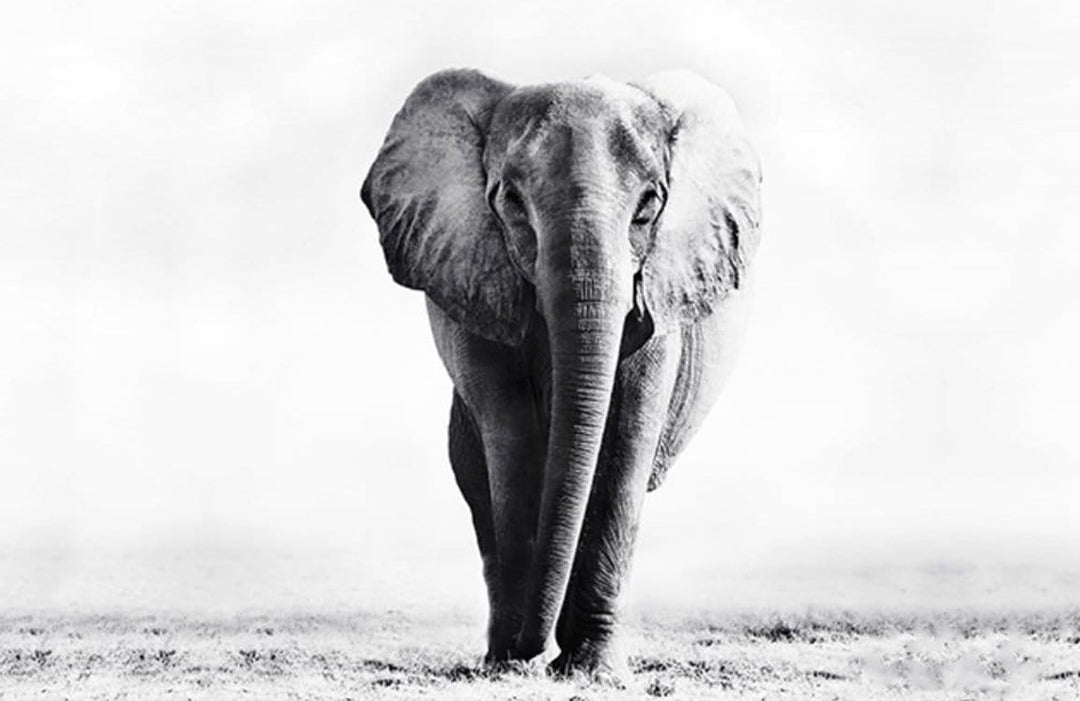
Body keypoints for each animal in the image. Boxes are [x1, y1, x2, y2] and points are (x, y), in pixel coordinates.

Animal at [361, 68, 761, 683]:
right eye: (510, 201)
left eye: (649, 205)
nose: (535, 647)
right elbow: (513, 439)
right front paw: (512, 665)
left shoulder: (660, 290)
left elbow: (623, 443)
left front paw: (592, 672)